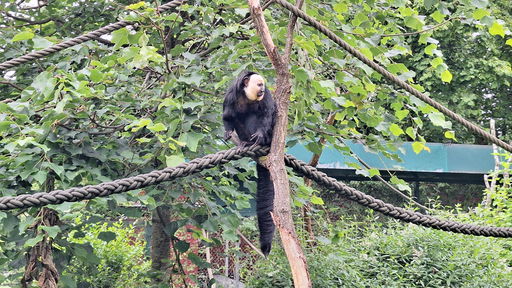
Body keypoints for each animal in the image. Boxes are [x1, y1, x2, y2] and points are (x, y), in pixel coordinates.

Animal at [223, 71, 278, 255]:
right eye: (259, 84)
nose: (263, 89)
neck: (247, 96)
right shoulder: (231, 95)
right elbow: (228, 116)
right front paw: (228, 132)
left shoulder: (266, 97)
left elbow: (268, 113)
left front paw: (260, 134)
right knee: (239, 117)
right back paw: (245, 143)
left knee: (257, 116)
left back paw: (259, 142)